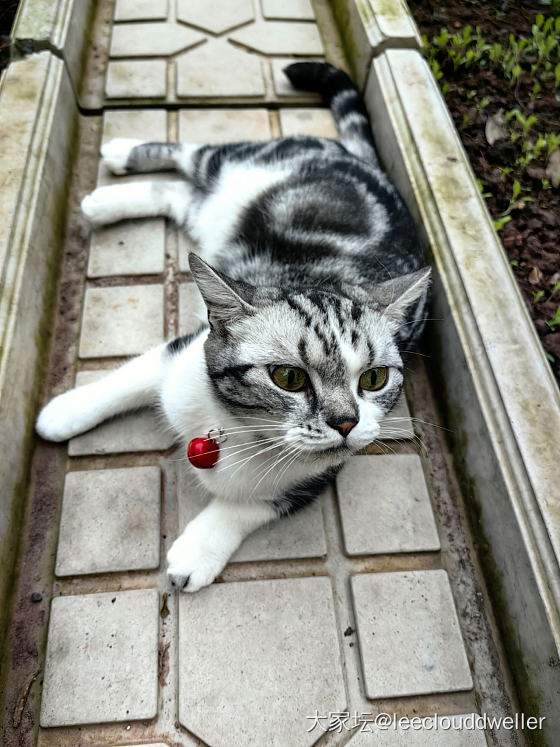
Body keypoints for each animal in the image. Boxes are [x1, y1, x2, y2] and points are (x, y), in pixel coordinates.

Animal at [35, 62, 428, 592]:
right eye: (289, 377)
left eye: (373, 379)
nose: (346, 422)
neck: (238, 429)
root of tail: (371, 168)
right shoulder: (183, 350)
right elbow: (127, 378)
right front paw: (66, 410)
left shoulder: (320, 474)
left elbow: (253, 505)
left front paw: (197, 551)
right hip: (238, 163)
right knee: (191, 157)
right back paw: (118, 162)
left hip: (211, 208)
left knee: (179, 193)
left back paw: (112, 197)